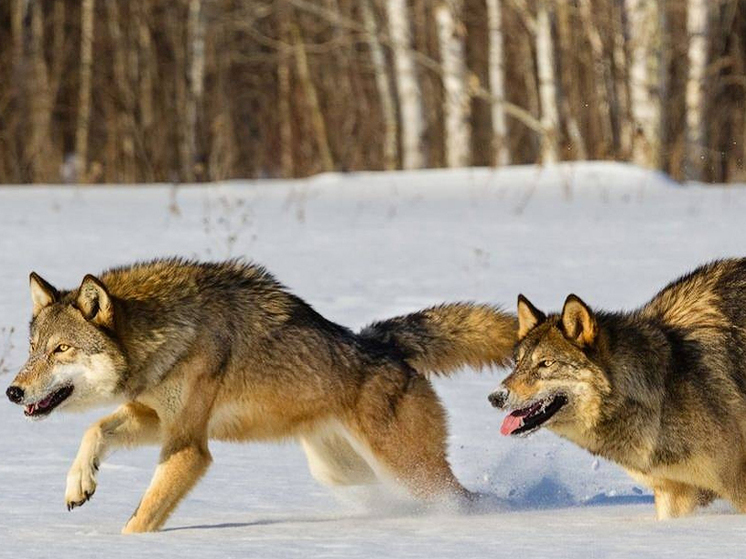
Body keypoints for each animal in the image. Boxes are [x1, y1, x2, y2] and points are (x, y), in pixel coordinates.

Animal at [5, 258, 516, 532]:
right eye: (33, 350)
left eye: (61, 349)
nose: (12, 391)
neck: (167, 333)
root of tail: (383, 343)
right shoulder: (157, 418)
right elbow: (94, 429)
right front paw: (79, 483)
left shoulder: (189, 447)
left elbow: (142, 517)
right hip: (343, 472)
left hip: (406, 468)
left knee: (460, 497)